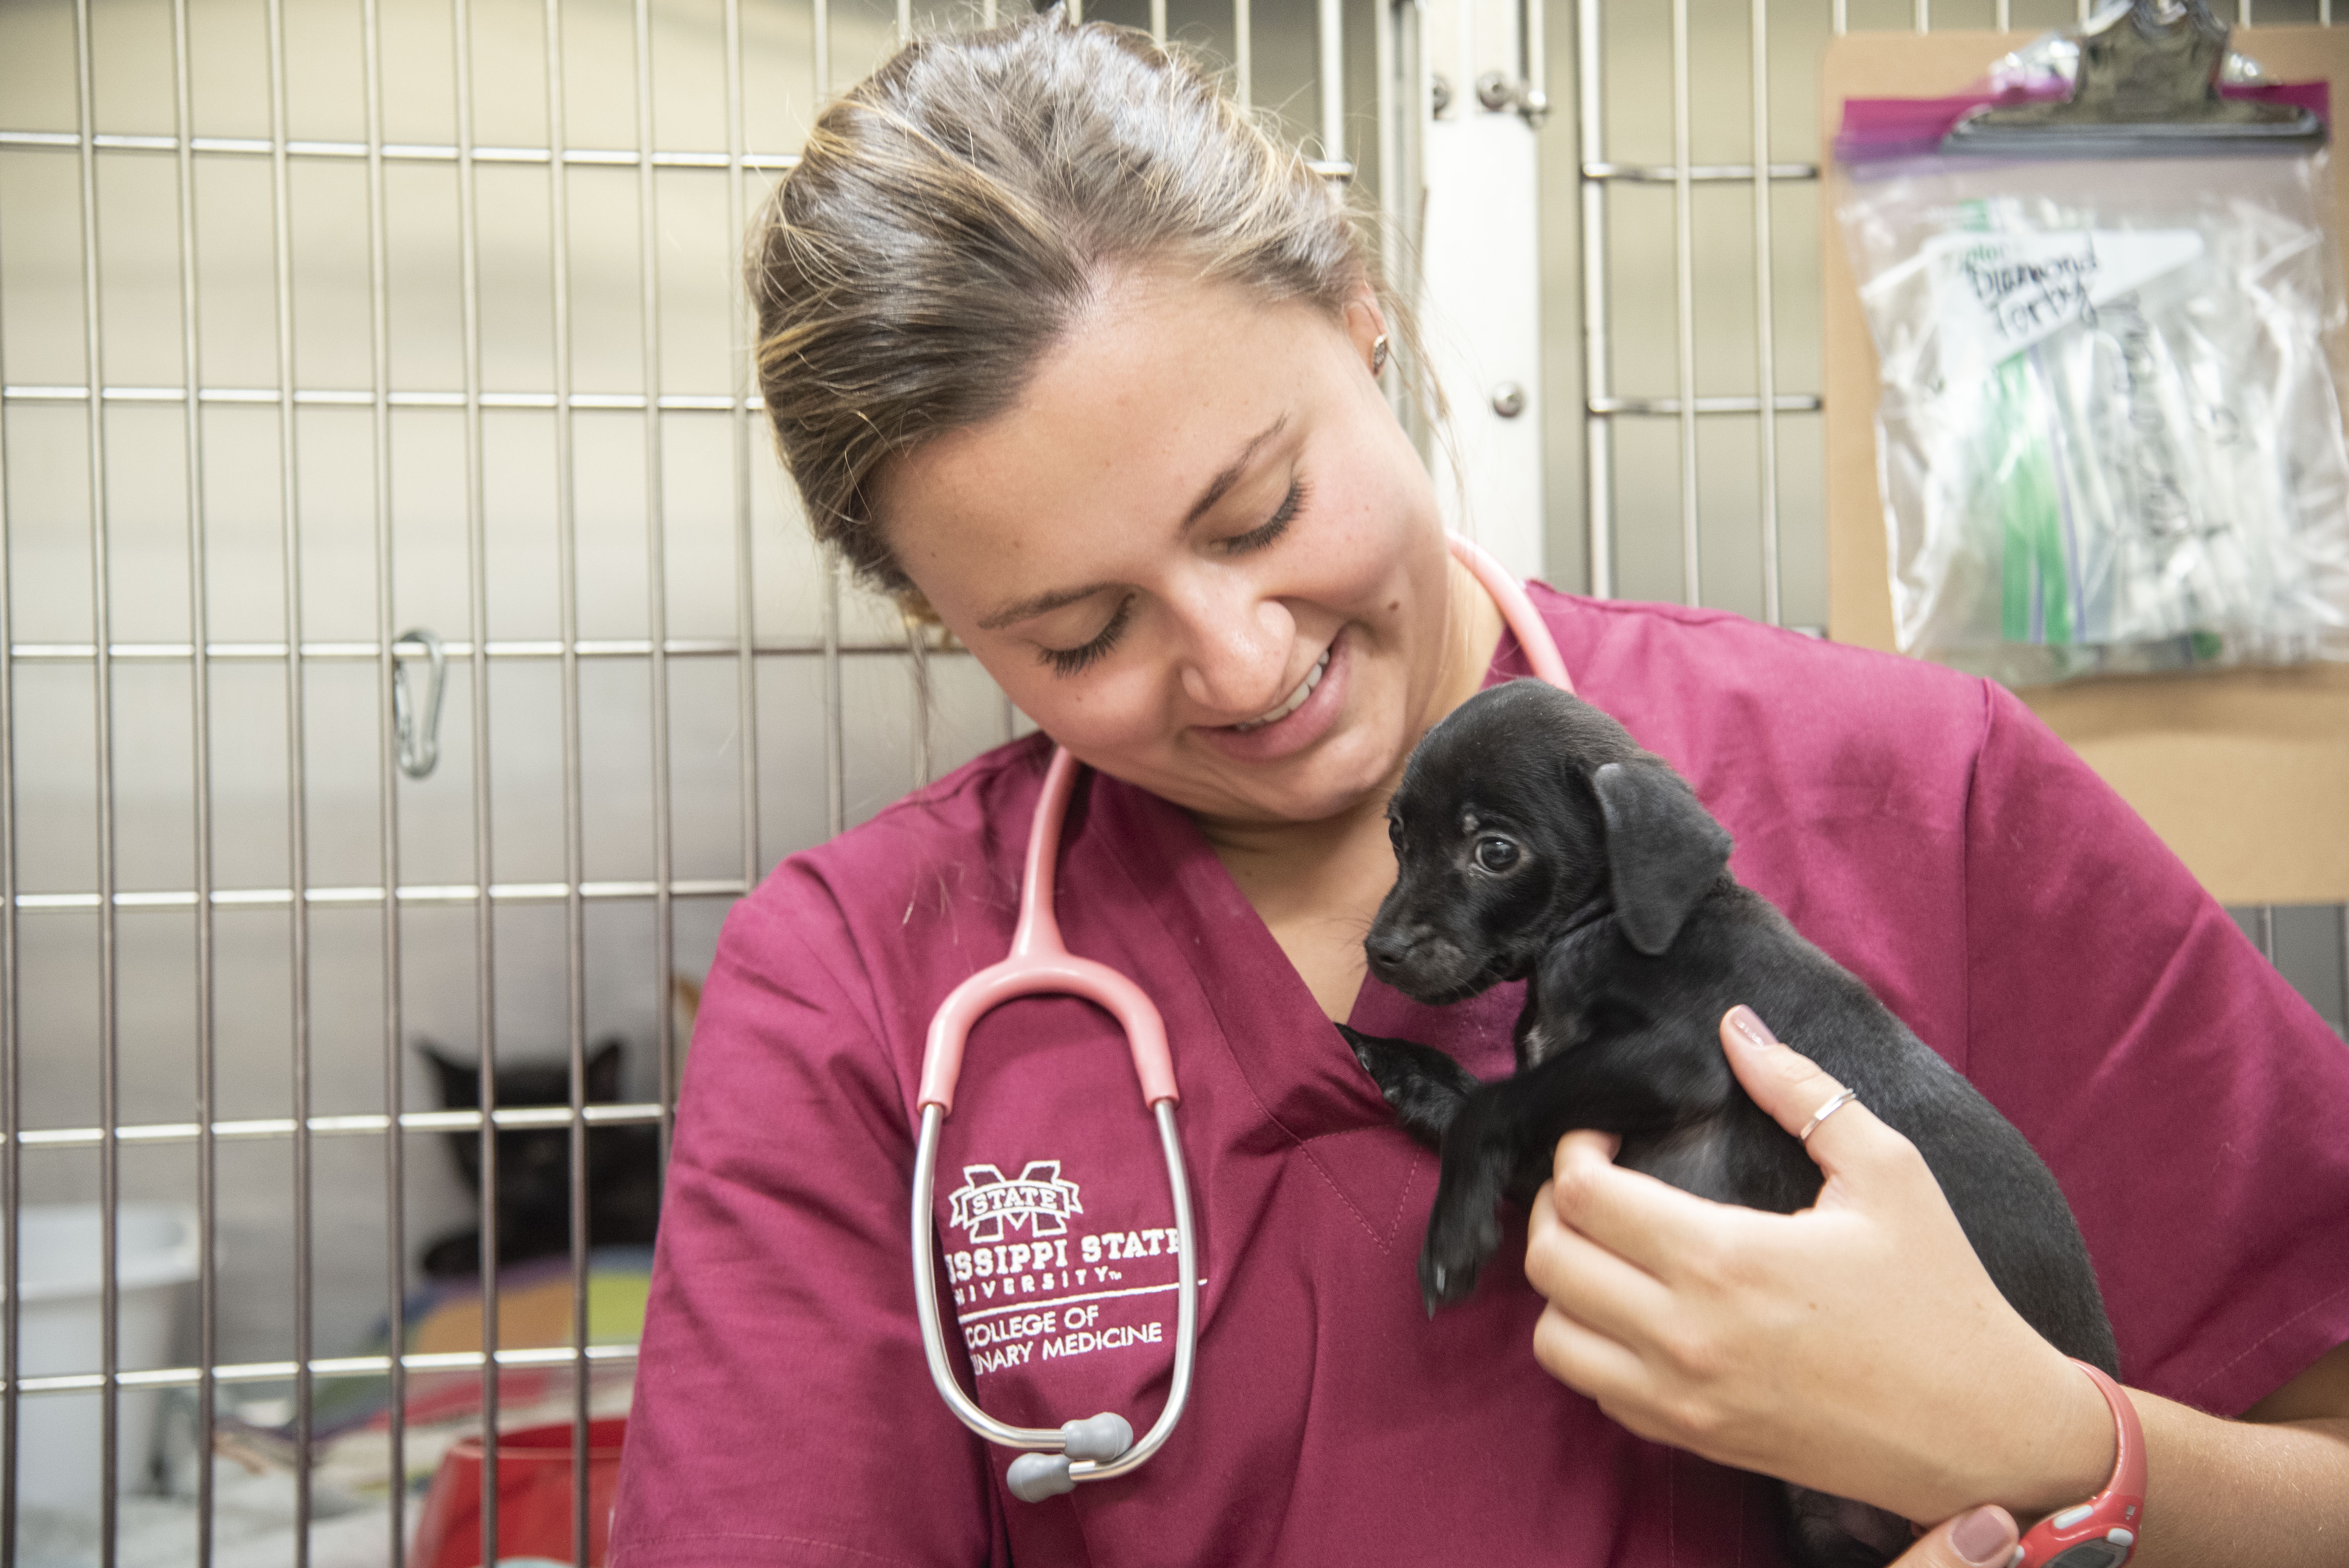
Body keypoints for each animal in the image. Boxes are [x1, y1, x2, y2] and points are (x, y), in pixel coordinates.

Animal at [415, 1042, 662, 1277]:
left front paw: (468, 1256)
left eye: (543, 1148)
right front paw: (450, 1245)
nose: (508, 1182)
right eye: (476, 1151)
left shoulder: (632, 1222)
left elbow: (549, 1233)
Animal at [1344, 681, 2133, 1568]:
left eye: (1496, 852)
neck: (1604, 931)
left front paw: (1450, 1238)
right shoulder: (1559, 1141)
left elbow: (1490, 1104)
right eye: (1398, 834)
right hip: (1822, 1532)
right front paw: (1397, 1065)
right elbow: (1476, 1097)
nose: (1380, 950)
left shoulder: (1679, 1061)